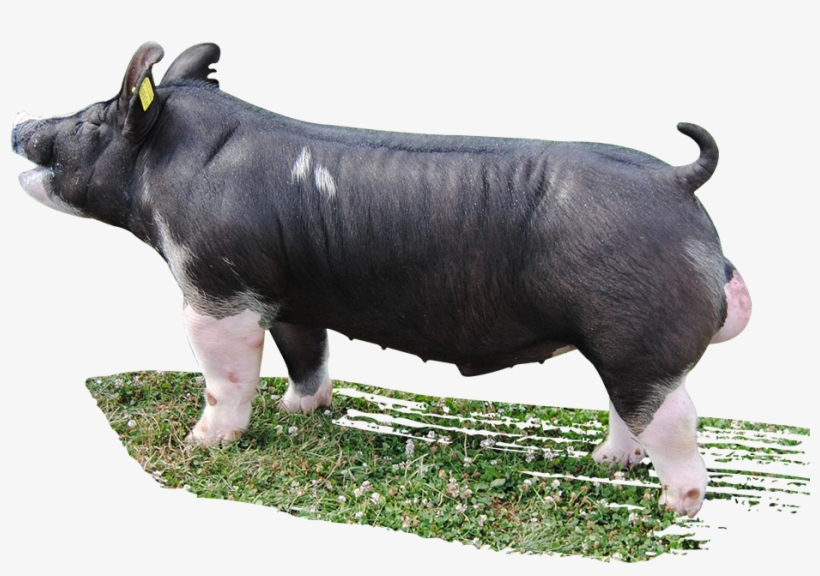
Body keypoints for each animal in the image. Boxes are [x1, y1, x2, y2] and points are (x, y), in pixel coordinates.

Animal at [12, 42, 751, 517]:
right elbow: (305, 353)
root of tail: (675, 180)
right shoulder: (289, 295)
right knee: (630, 410)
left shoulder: (217, 290)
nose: (20, 123)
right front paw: (299, 412)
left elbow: (225, 376)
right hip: (618, 343)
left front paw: (202, 444)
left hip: (639, 333)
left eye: (91, 118)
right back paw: (607, 464)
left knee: (674, 418)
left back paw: (677, 509)